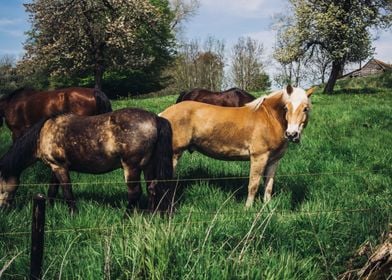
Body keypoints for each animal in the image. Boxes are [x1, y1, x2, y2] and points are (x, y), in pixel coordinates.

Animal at [0, 108, 175, 213]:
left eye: (0, 188)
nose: (3, 209)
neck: (42, 134)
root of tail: (154, 118)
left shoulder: (60, 167)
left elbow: (67, 191)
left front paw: (73, 213)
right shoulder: (54, 167)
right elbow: (52, 190)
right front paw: (49, 207)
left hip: (131, 166)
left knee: (135, 193)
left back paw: (125, 217)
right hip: (147, 165)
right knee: (152, 188)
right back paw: (151, 214)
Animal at [159, 84, 312, 207]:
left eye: (306, 109)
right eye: (286, 107)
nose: (292, 134)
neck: (269, 118)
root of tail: (163, 115)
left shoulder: (273, 160)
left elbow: (268, 186)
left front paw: (267, 207)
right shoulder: (259, 157)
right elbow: (253, 185)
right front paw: (248, 209)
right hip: (173, 155)